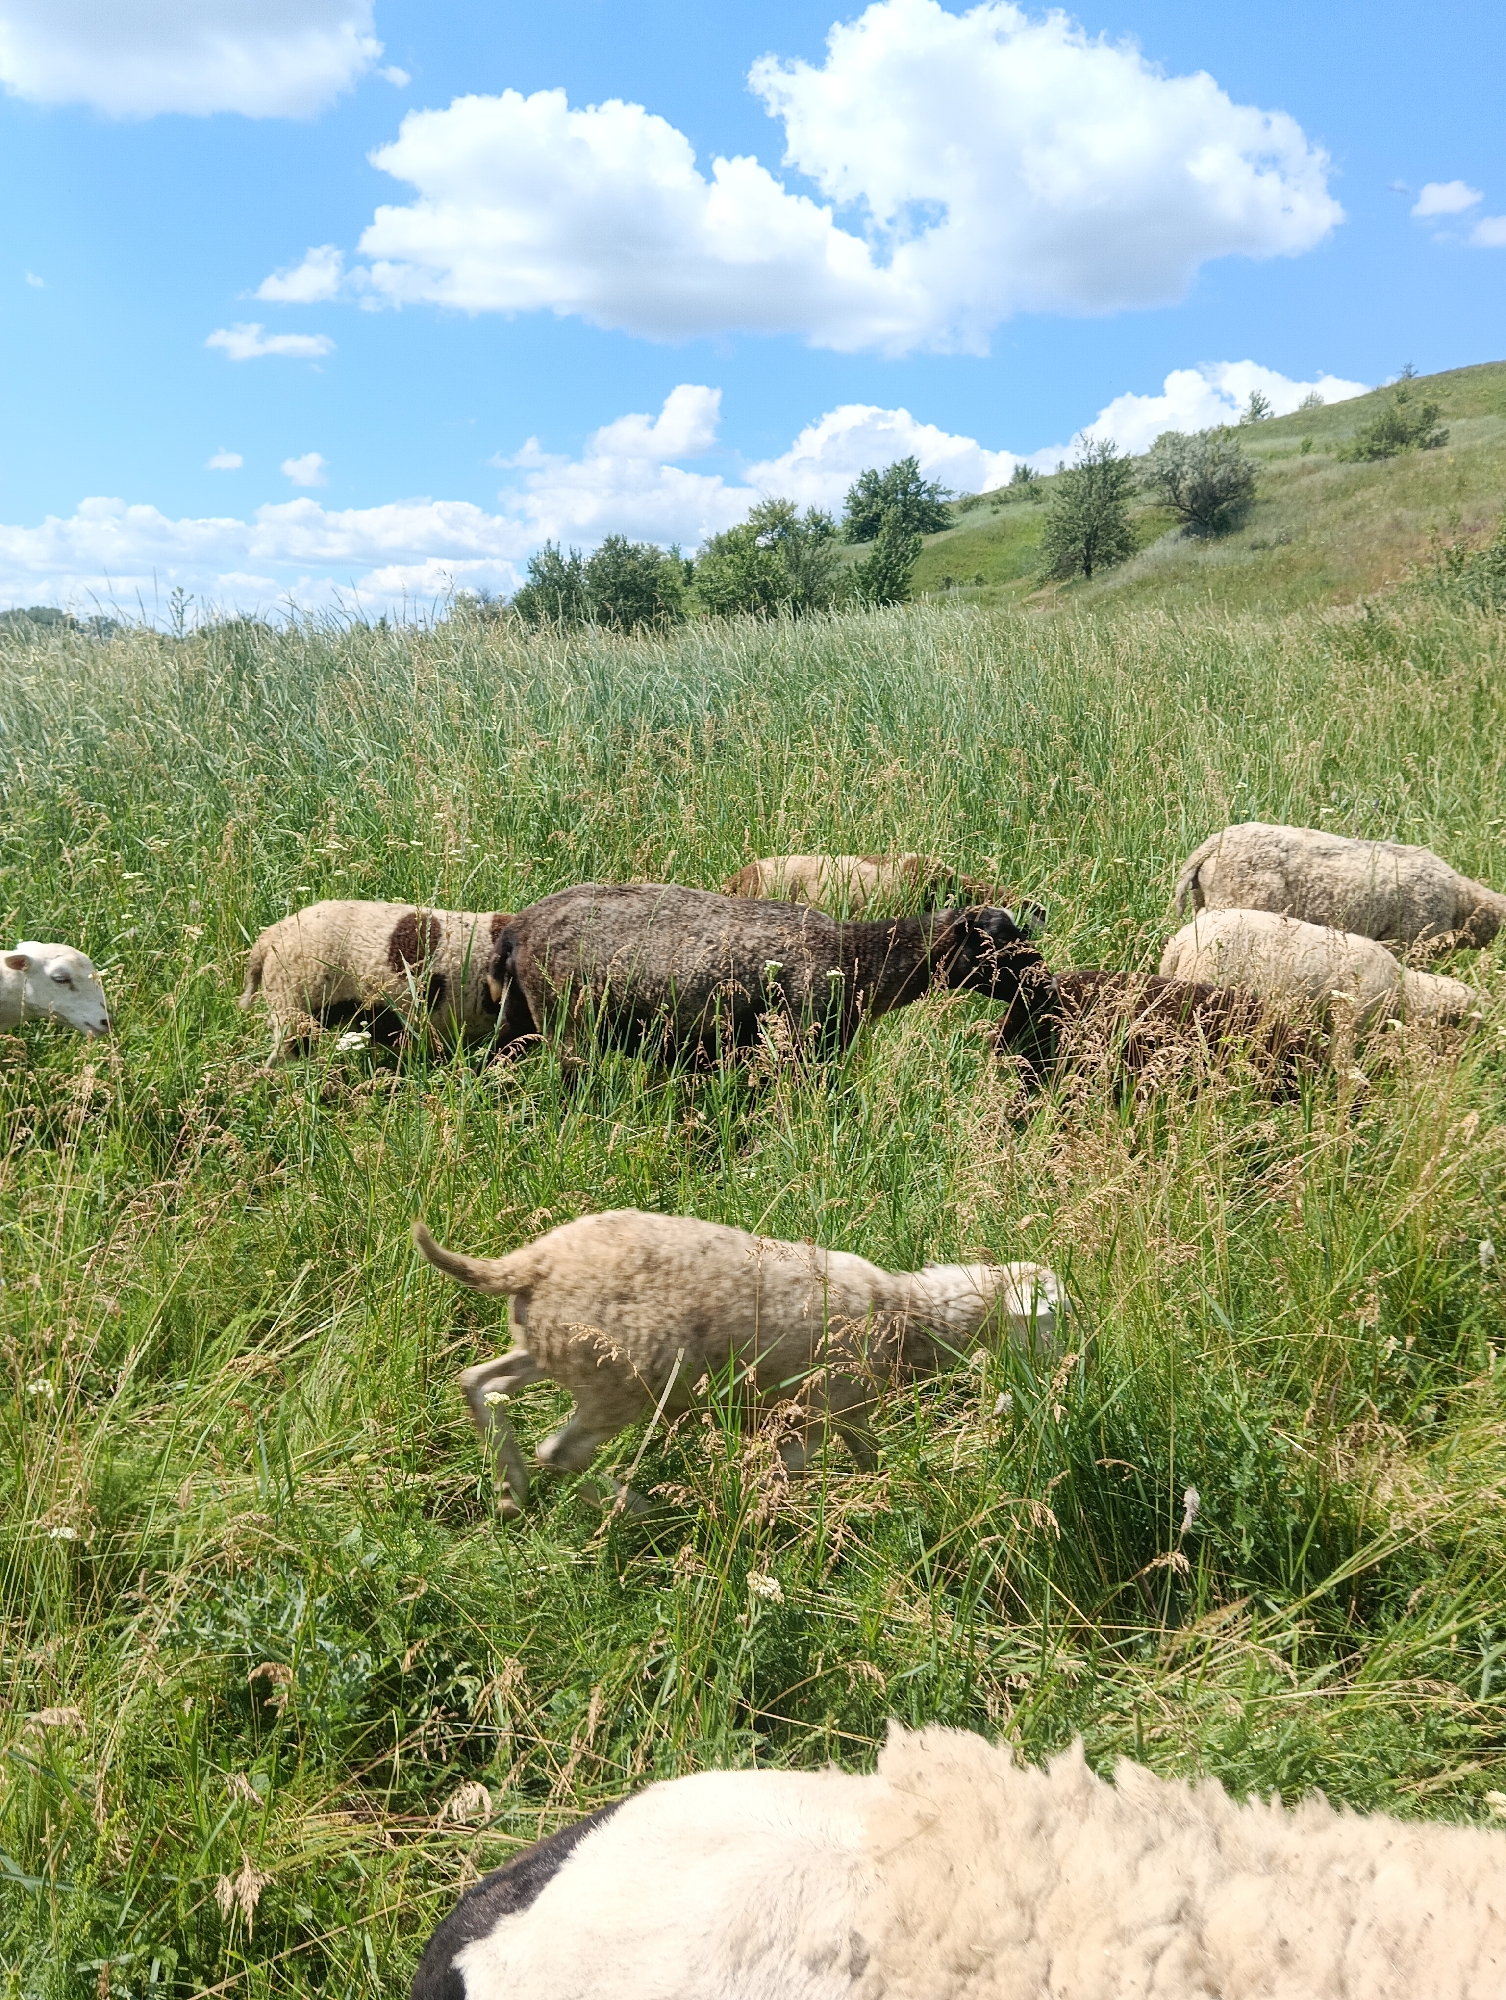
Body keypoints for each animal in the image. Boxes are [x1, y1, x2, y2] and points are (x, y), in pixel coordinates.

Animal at [411, 1209, 1064, 1517]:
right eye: (1053, 1319)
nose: (1059, 1383)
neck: (903, 1315)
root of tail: (532, 1262)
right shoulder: (811, 1412)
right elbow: (784, 1474)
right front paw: (764, 1528)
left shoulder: (848, 1410)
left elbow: (869, 1456)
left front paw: (884, 1489)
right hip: (623, 1377)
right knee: (560, 1452)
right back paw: (638, 1510)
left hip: (555, 1349)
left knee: (479, 1383)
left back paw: (510, 1487)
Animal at [488, 883, 1042, 1063]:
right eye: (997, 944)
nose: (1042, 984)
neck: (858, 958)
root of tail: (518, 927)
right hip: (569, 1027)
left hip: (518, 1019)